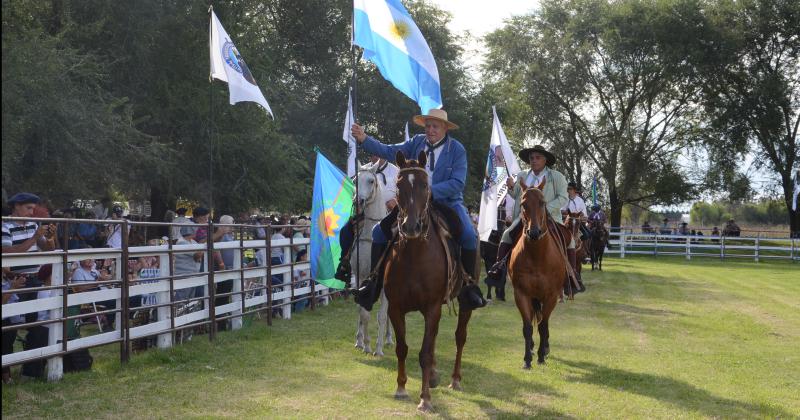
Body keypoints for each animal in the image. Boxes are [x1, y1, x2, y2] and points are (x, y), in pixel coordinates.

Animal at [382, 150, 472, 410]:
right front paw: (401, 388)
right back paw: (432, 375)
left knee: (460, 337)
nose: (411, 226)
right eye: (399, 185)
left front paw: (425, 399)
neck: (414, 255)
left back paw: (455, 379)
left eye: (425, 185)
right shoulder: (396, 308)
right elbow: (403, 348)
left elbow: (424, 353)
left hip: (464, 303)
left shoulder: (432, 308)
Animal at [512, 180, 568, 368]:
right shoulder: (521, 294)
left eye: (542, 203)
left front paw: (541, 356)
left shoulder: (551, 295)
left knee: (545, 322)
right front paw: (527, 359)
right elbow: (528, 327)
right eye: (523, 204)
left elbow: (543, 326)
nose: (534, 232)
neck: (537, 256)